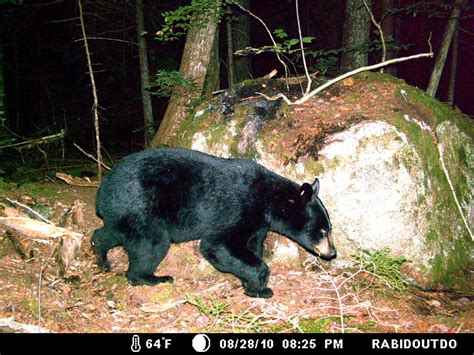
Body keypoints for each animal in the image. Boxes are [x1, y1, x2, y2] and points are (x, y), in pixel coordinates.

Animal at [92, 147, 336, 298]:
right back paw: (152, 277)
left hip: (124, 213)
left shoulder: (257, 225)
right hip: (142, 207)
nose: (332, 252)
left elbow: (251, 247)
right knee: (152, 245)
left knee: (110, 233)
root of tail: (102, 191)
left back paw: (101, 257)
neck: (269, 200)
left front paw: (250, 284)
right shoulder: (238, 209)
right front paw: (261, 288)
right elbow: (217, 245)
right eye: (323, 230)